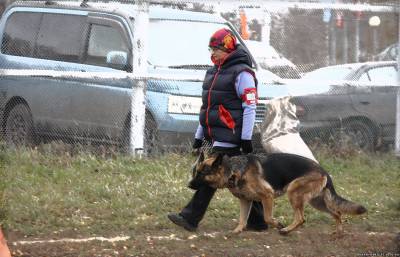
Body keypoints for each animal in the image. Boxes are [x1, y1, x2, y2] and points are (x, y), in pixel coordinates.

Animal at [189, 151, 368, 235]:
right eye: (196, 172)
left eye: (201, 174)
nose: (189, 185)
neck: (233, 170)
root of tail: (323, 170)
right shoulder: (245, 201)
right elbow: (242, 219)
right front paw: (236, 231)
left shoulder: (267, 196)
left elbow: (268, 217)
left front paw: (278, 224)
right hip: (317, 202)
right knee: (337, 212)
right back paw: (339, 233)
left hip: (294, 192)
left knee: (301, 218)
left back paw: (286, 230)